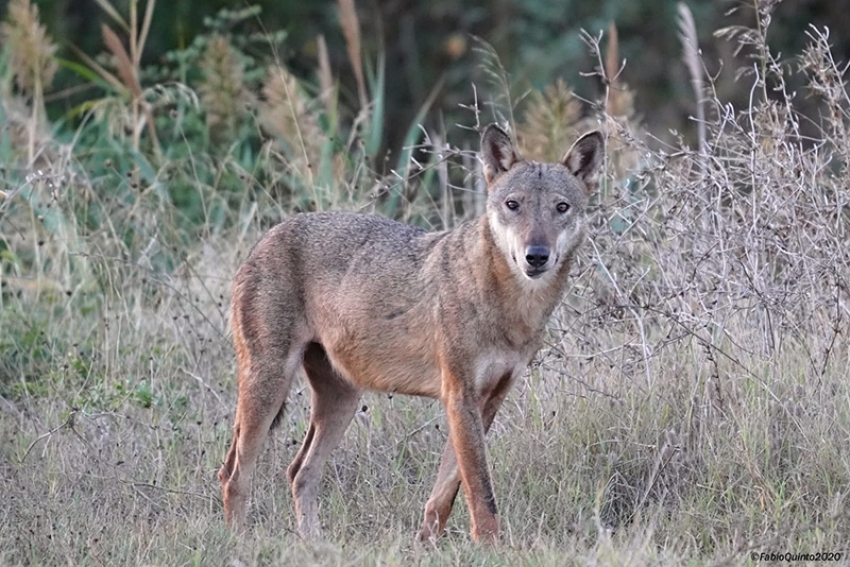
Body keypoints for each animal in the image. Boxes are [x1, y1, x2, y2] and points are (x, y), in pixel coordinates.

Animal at [219, 122, 604, 544]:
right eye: (513, 205)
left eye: (561, 208)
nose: (536, 255)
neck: (512, 309)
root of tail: (266, 236)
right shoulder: (459, 397)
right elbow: (481, 492)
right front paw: (491, 548)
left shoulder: (488, 401)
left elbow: (445, 495)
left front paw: (426, 545)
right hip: (270, 386)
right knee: (234, 474)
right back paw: (237, 543)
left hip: (342, 401)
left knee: (298, 471)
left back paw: (313, 544)